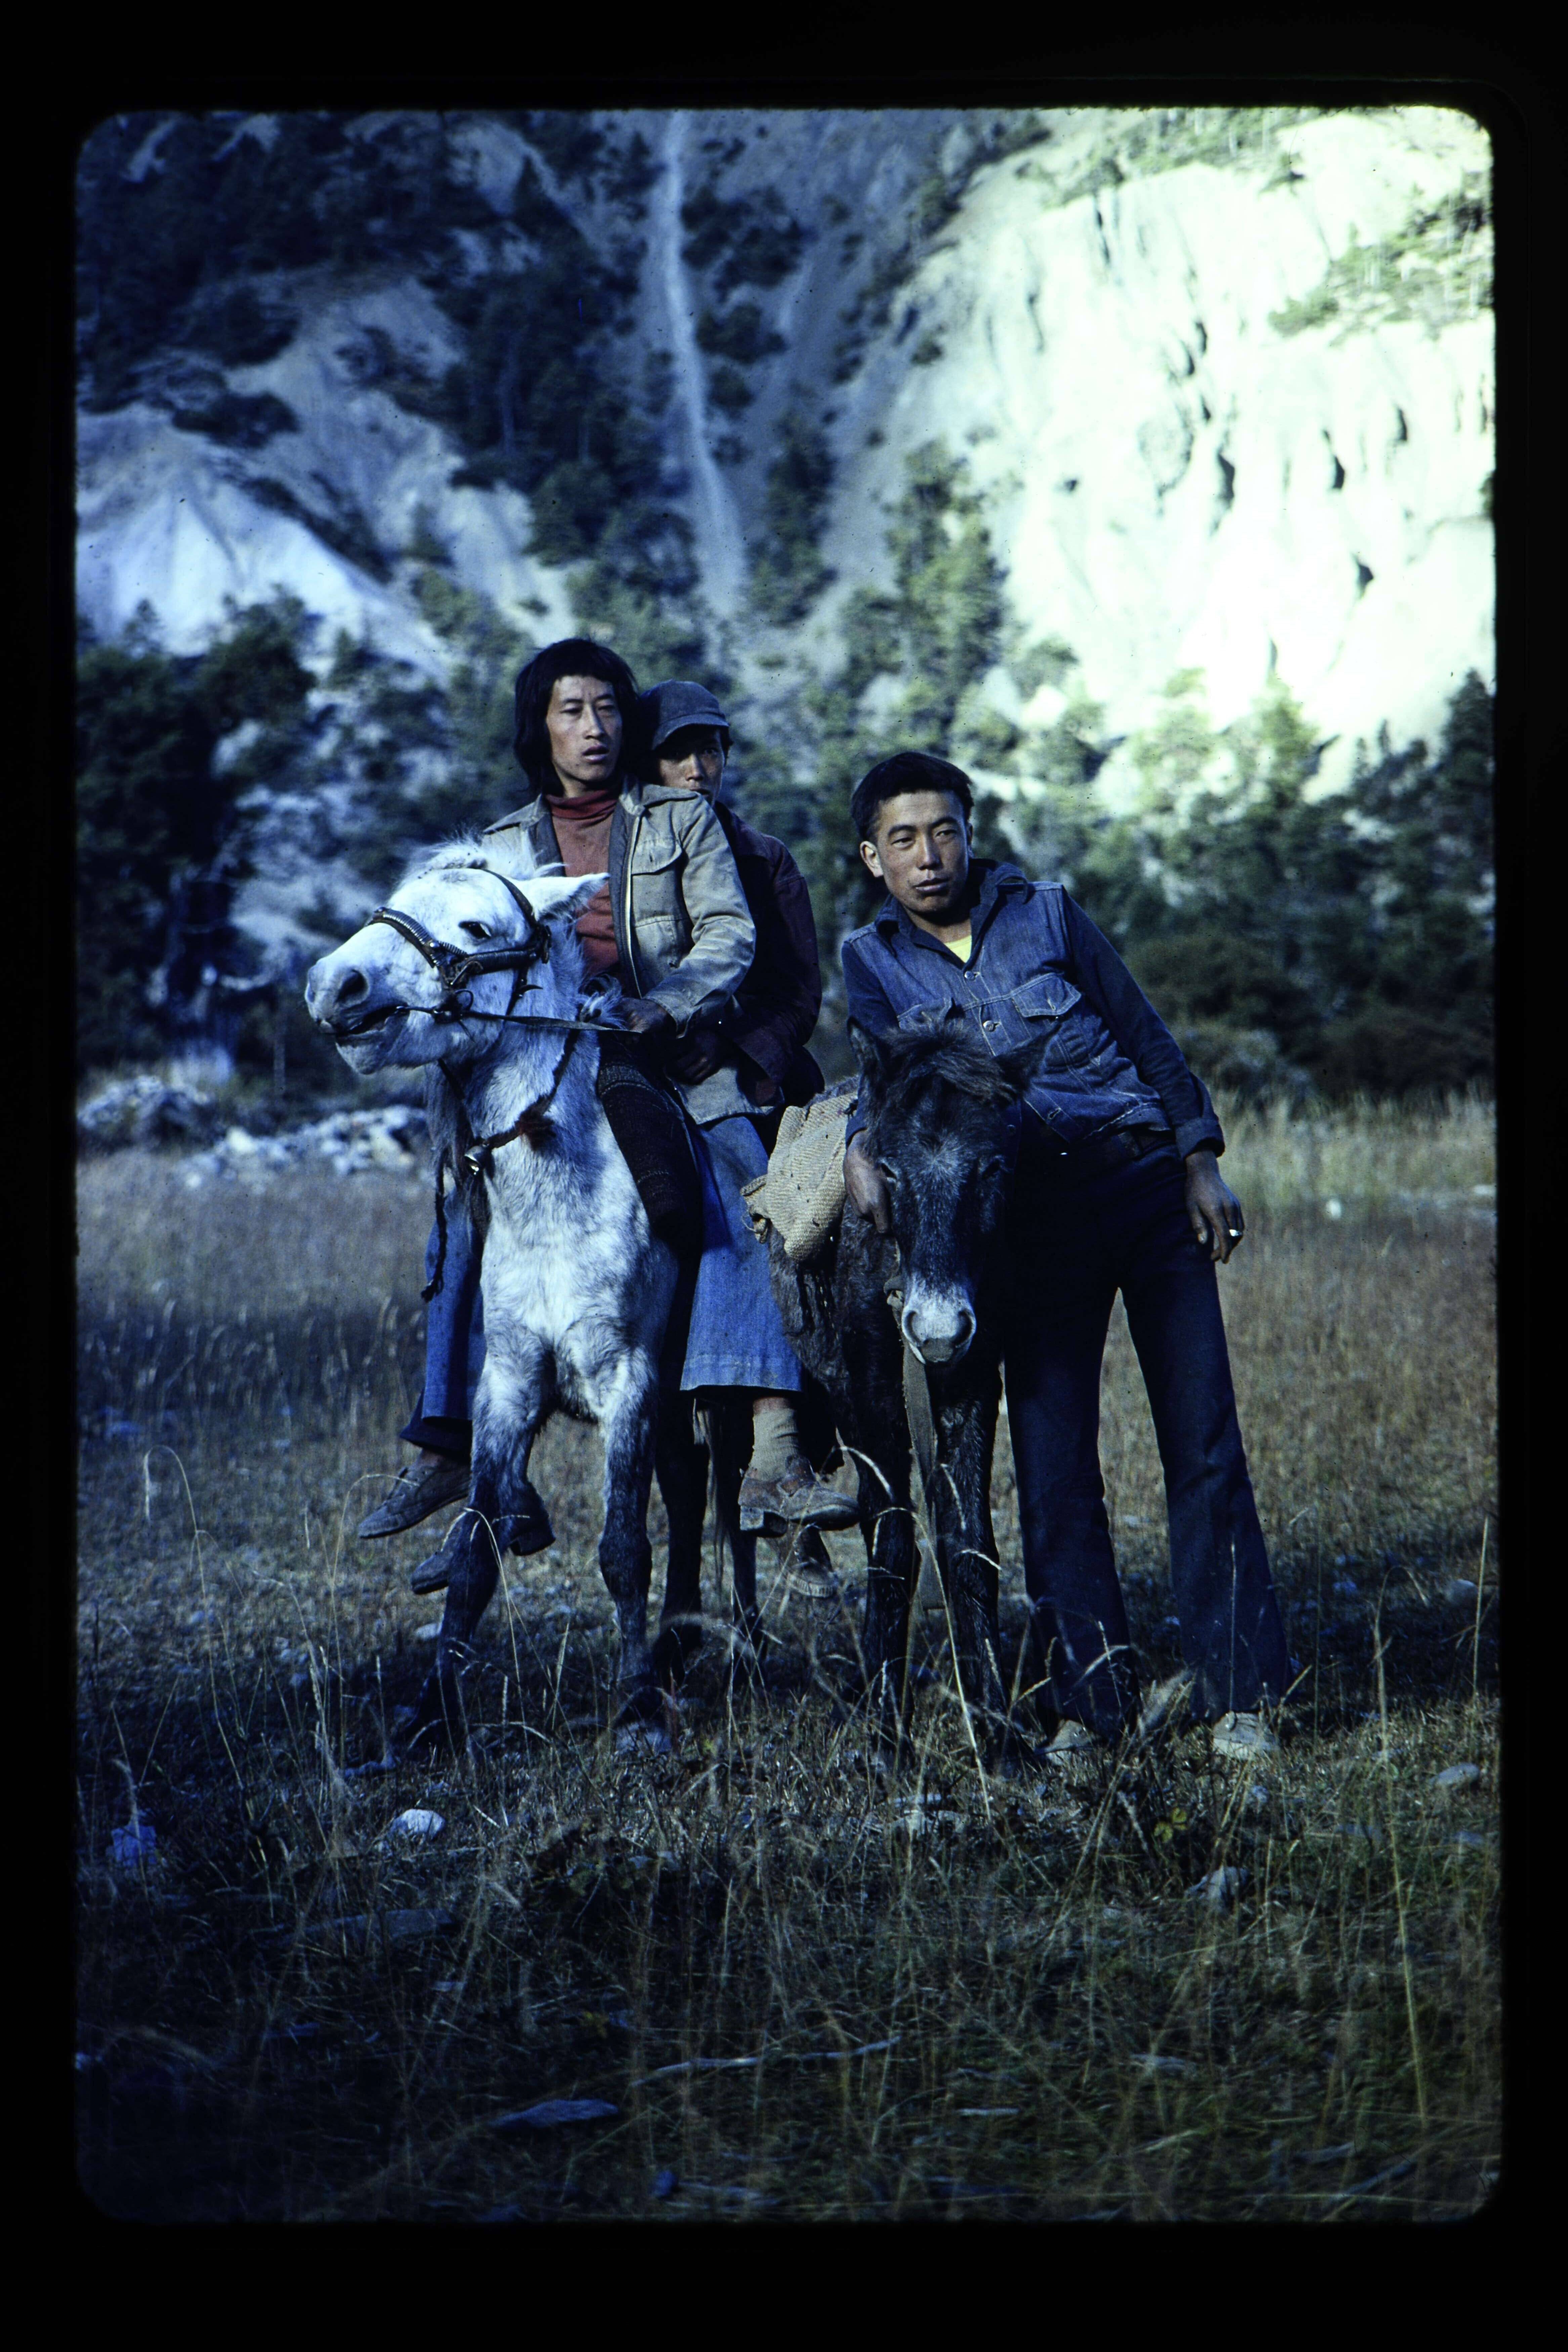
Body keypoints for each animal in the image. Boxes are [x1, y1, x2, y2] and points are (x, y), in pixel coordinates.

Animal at [305, 837, 743, 1752]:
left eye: (476, 925)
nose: (334, 985)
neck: (558, 1186)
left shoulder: (629, 1380)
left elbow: (622, 1547)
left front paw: (637, 1706)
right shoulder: (506, 1385)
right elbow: (474, 1551)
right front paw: (430, 1712)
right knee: (687, 1487)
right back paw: (678, 1639)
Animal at [760, 1018, 1048, 1757]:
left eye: (991, 1168)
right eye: (886, 1169)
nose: (938, 1330)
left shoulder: (970, 1385)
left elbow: (968, 1542)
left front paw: (995, 1727)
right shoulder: (870, 1396)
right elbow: (890, 1543)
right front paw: (884, 1726)